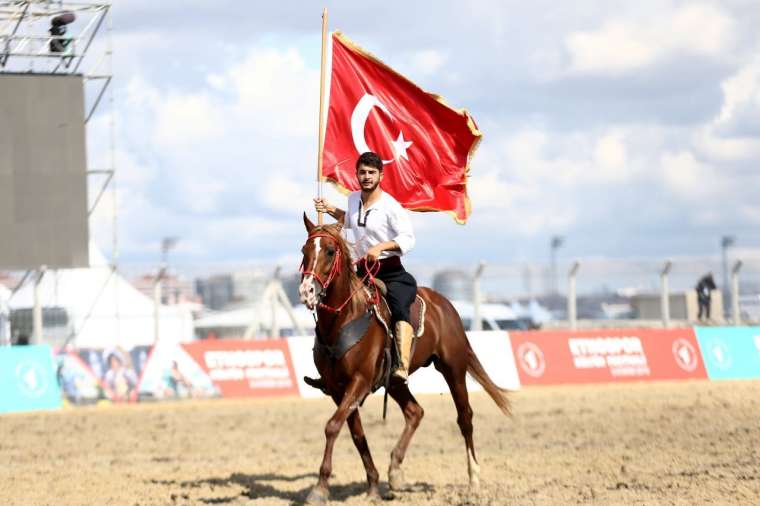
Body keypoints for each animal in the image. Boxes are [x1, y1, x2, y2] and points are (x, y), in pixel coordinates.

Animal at [298, 215, 510, 504]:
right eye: (304, 251)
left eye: (330, 251)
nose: (306, 291)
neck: (345, 318)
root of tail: (446, 306)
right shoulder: (337, 389)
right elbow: (355, 434)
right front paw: (373, 484)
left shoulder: (359, 381)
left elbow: (332, 427)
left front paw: (320, 488)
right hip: (397, 381)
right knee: (415, 412)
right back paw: (395, 471)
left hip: (453, 368)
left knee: (464, 418)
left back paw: (473, 480)